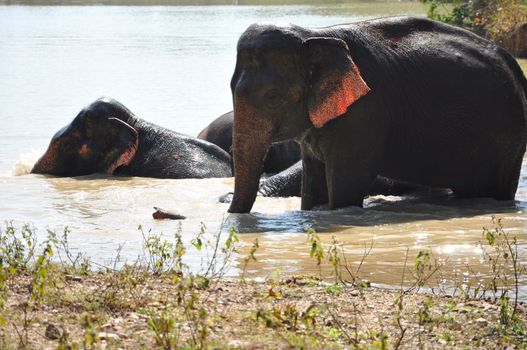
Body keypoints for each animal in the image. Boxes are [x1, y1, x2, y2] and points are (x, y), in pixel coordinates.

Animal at [228, 15, 527, 213]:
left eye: (273, 99)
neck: (314, 35)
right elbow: (313, 183)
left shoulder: (366, 114)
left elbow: (347, 184)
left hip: (506, 138)